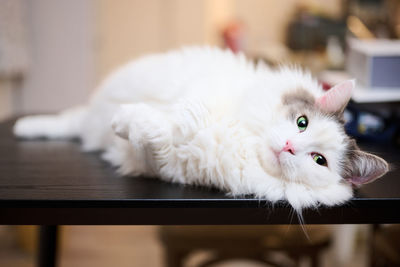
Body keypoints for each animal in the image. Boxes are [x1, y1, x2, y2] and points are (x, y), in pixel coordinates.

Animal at [14, 47, 390, 213]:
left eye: (318, 160)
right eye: (302, 123)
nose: (287, 146)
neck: (245, 142)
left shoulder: (165, 165)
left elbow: (152, 136)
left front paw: (130, 122)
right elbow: (174, 116)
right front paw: (132, 118)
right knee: (67, 120)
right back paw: (23, 126)